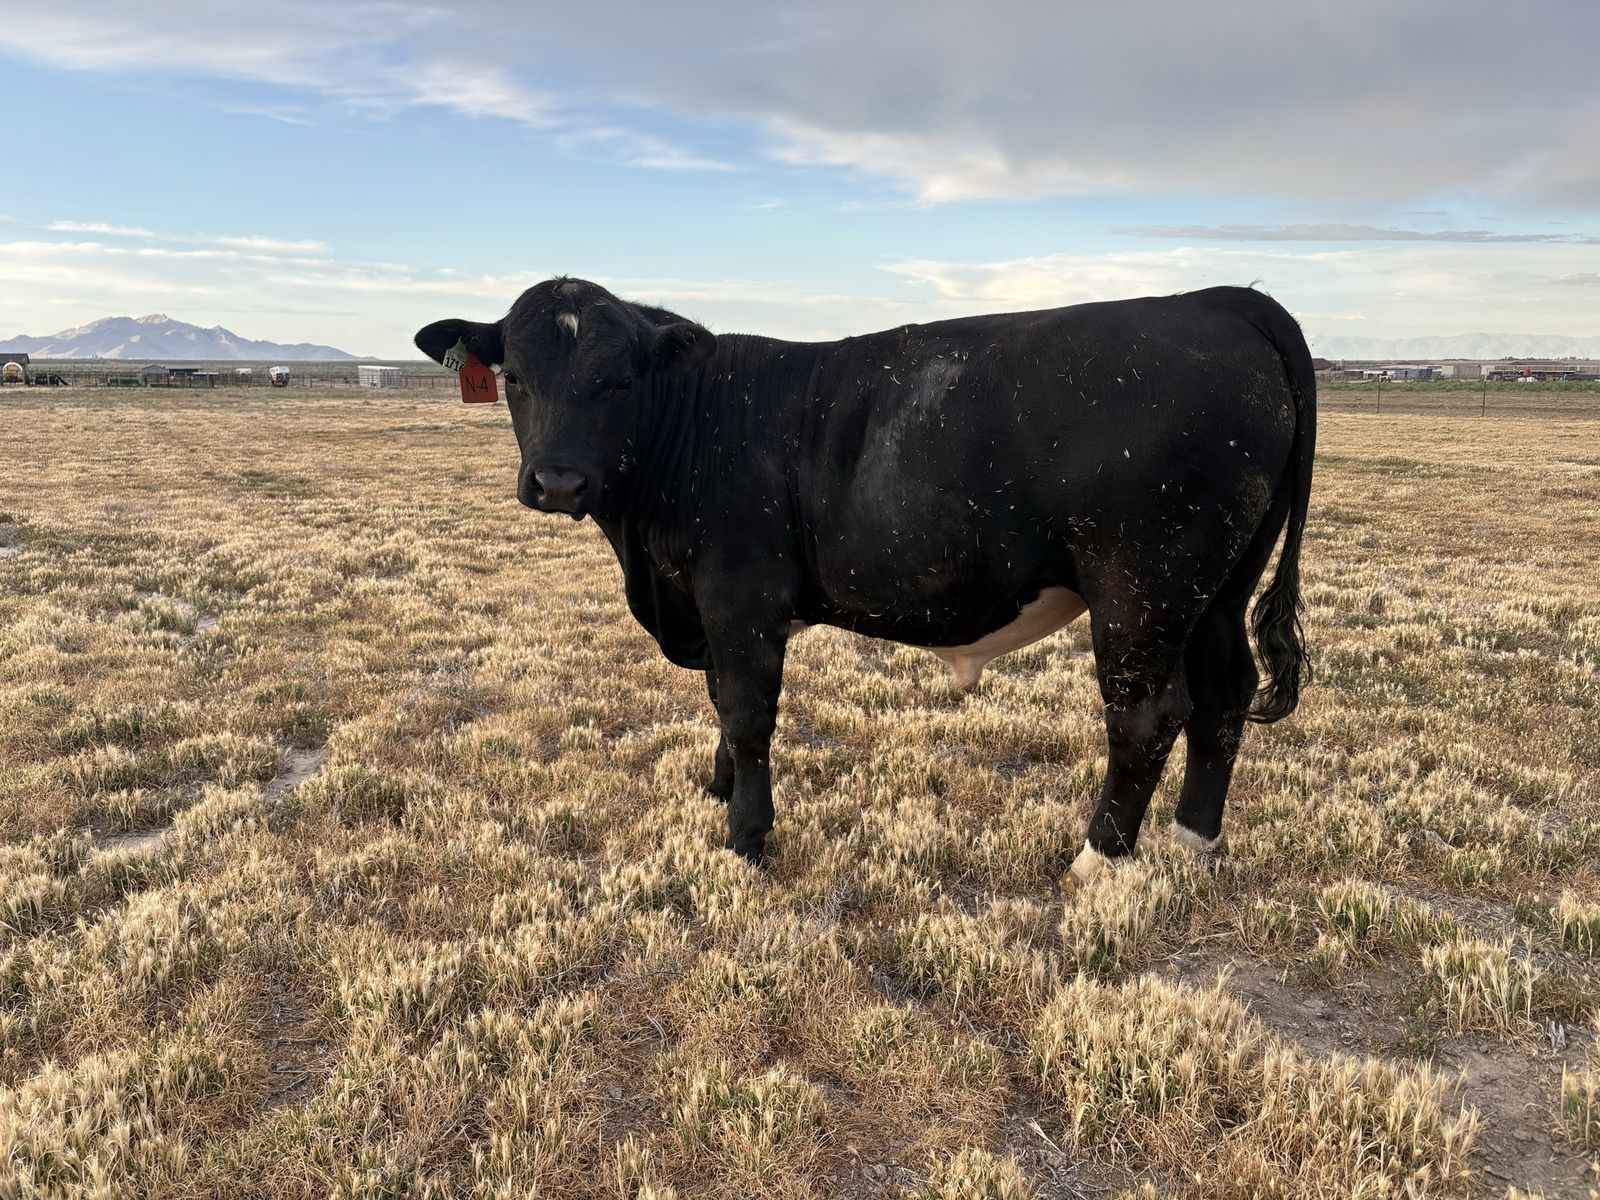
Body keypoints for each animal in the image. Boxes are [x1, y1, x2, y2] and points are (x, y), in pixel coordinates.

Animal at [415, 278, 1314, 886]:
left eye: (619, 380)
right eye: (515, 376)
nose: (557, 481)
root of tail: (1214, 300)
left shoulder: (741, 596)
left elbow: (747, 713)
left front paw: (746, 837)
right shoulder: (711, 605)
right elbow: (720, 704)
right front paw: (717, 791)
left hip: (1140, 591)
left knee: (1146, 717)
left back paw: (1093, 863)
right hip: (1216, 592)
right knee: (1224, 697)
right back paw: (1193, 843)